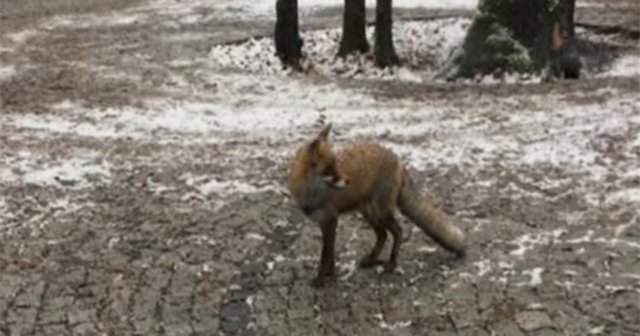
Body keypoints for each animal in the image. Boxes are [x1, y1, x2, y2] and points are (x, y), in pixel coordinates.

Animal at [288, 123, 468, 286]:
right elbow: (330, 254)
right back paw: (372, 259)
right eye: (330, 169)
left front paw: (322, 279)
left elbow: (325, 256)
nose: (348, 181)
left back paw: (392, 263)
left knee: (397, 231)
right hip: (369, 213)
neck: (310, 193)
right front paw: (330, 276)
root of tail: (397, 159)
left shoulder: (331, 220)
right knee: (383, 235)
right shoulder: (324, 222)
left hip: (381, 212)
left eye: (336, 164)